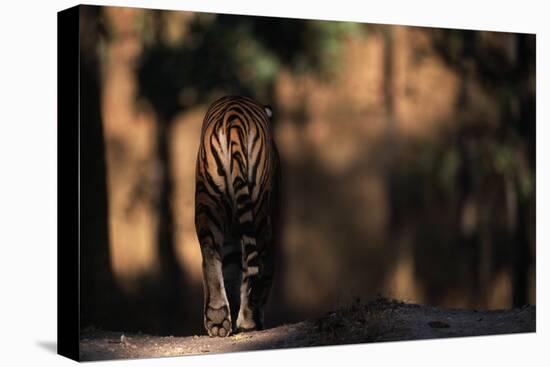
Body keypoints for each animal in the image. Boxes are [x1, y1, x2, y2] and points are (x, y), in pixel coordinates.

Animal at [195, 96, 282, 338]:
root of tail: (233, 118)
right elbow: (261, 273)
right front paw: (248, 319)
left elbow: (231, 273)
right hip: (259, 210)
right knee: (256, 262)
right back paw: (249, 320)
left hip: (208, 201)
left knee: (209, 252)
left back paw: (217, 319)